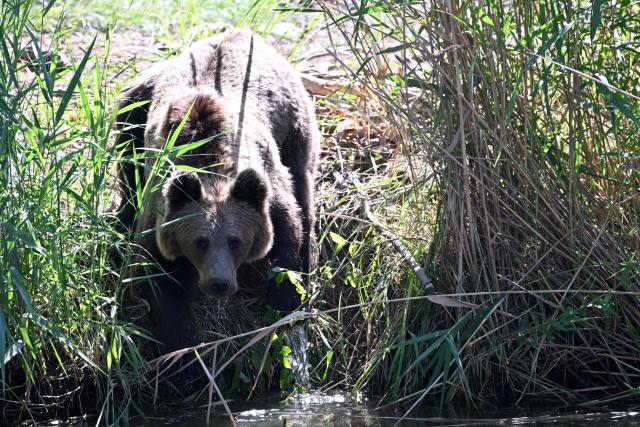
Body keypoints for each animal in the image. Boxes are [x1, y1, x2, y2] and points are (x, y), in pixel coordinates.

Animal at [114, 28, 320, 353]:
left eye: (236, 241)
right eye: (200, 242)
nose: (219, 283)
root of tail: (242, 32)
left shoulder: (265, 184)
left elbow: (289, 227)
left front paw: (284, 300)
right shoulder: (160, 209)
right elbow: (161, 278)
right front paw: (179, 345)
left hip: (292, 123)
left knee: (302, 183)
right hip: (135, 108)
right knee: (126, 162)